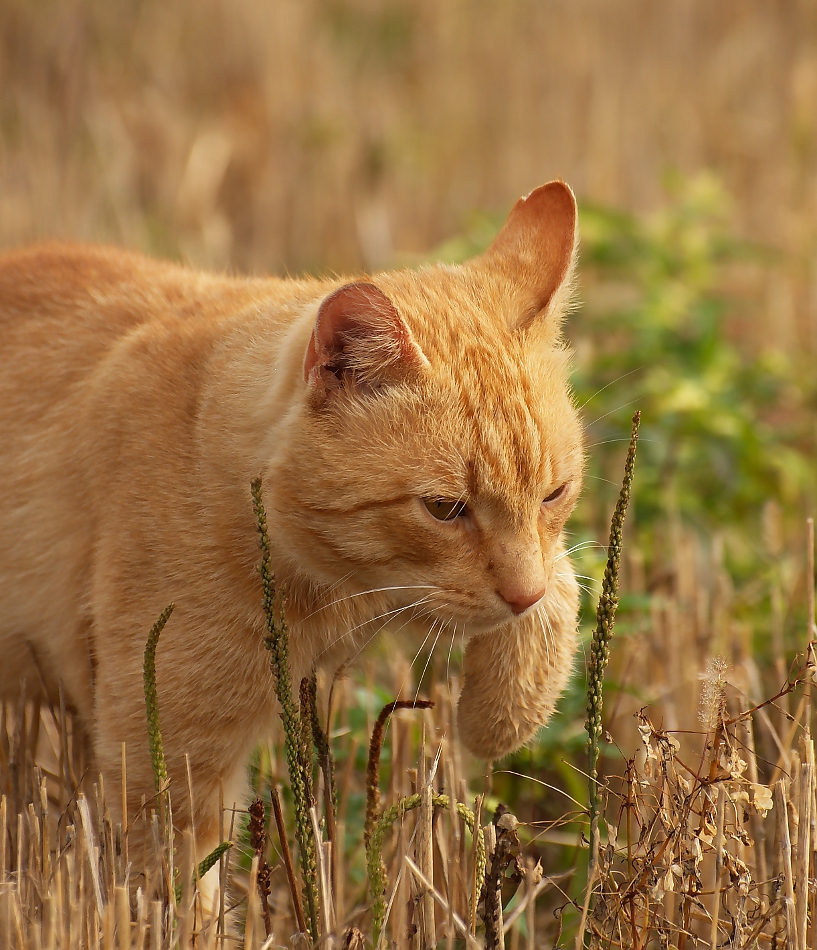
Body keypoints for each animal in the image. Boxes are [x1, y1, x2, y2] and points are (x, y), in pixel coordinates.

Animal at [1, 180, 588, 872]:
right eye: (445, 510)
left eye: (554, 494)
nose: (519, 596)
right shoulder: (163, 778)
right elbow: (172, 888)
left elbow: (563, 586)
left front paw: (505, 713)